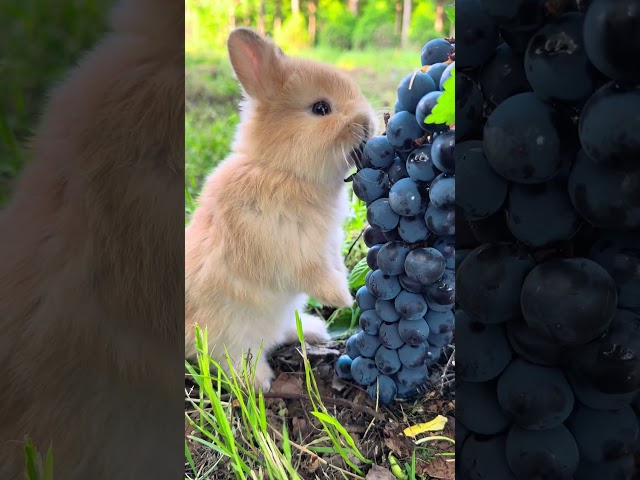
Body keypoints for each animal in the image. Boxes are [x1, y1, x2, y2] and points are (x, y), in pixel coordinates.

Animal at [182, 28, 378, 392]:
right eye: (320, 108)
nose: (368, 124)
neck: (282, 170)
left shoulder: (328, 245)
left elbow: (333, 265)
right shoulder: (287, 249)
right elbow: (315, 274)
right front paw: (344, 298)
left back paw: (314, 330)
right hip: (231, 334)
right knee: (231, 361)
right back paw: (260, 382)